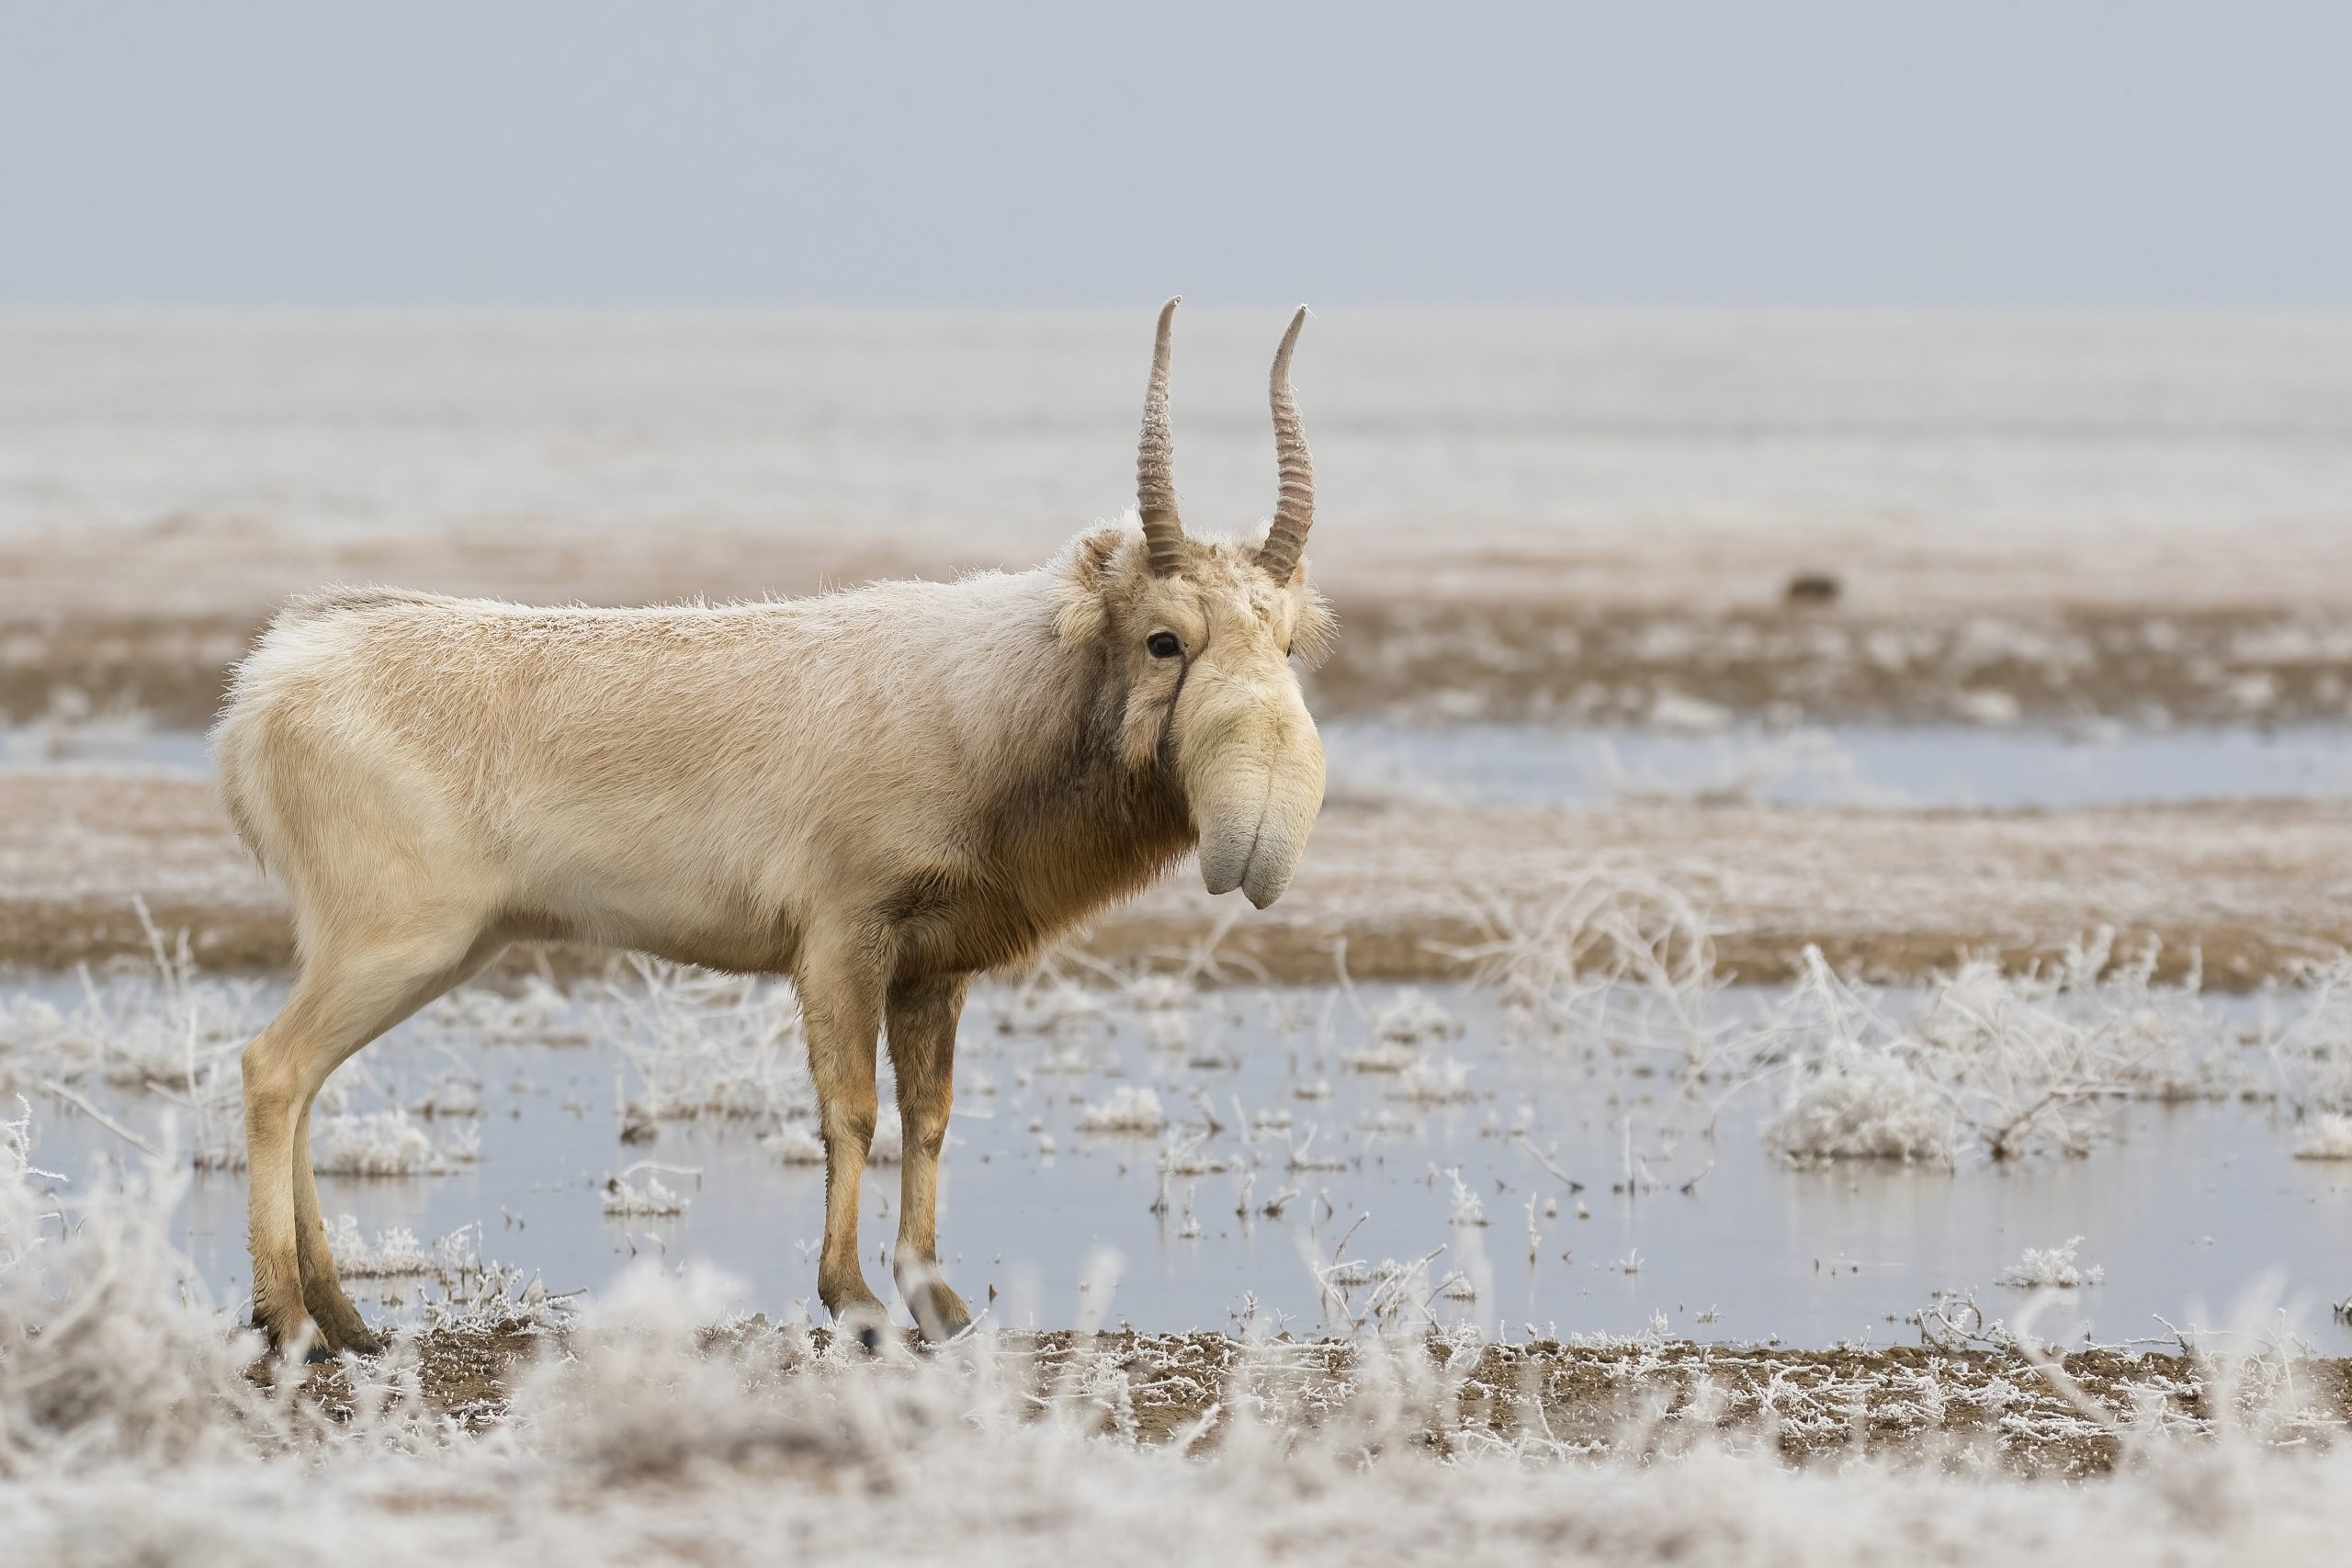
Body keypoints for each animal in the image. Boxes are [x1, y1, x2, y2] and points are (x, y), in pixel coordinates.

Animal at [214, 301, 1332, 1354]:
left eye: (1284, 641)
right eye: (1164, 639)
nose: (1259, 833)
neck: (987, 698)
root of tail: (263, 690)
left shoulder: (934, 964)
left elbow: (929, 1117)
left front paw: (939, 1302)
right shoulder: (840, 938)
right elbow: (852, 1109)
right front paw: (857, 1302)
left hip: (432, 950)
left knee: (305, 1081)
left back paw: (349, 1323)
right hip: (398, 944)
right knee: (274, 1069)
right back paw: (291, 1321)